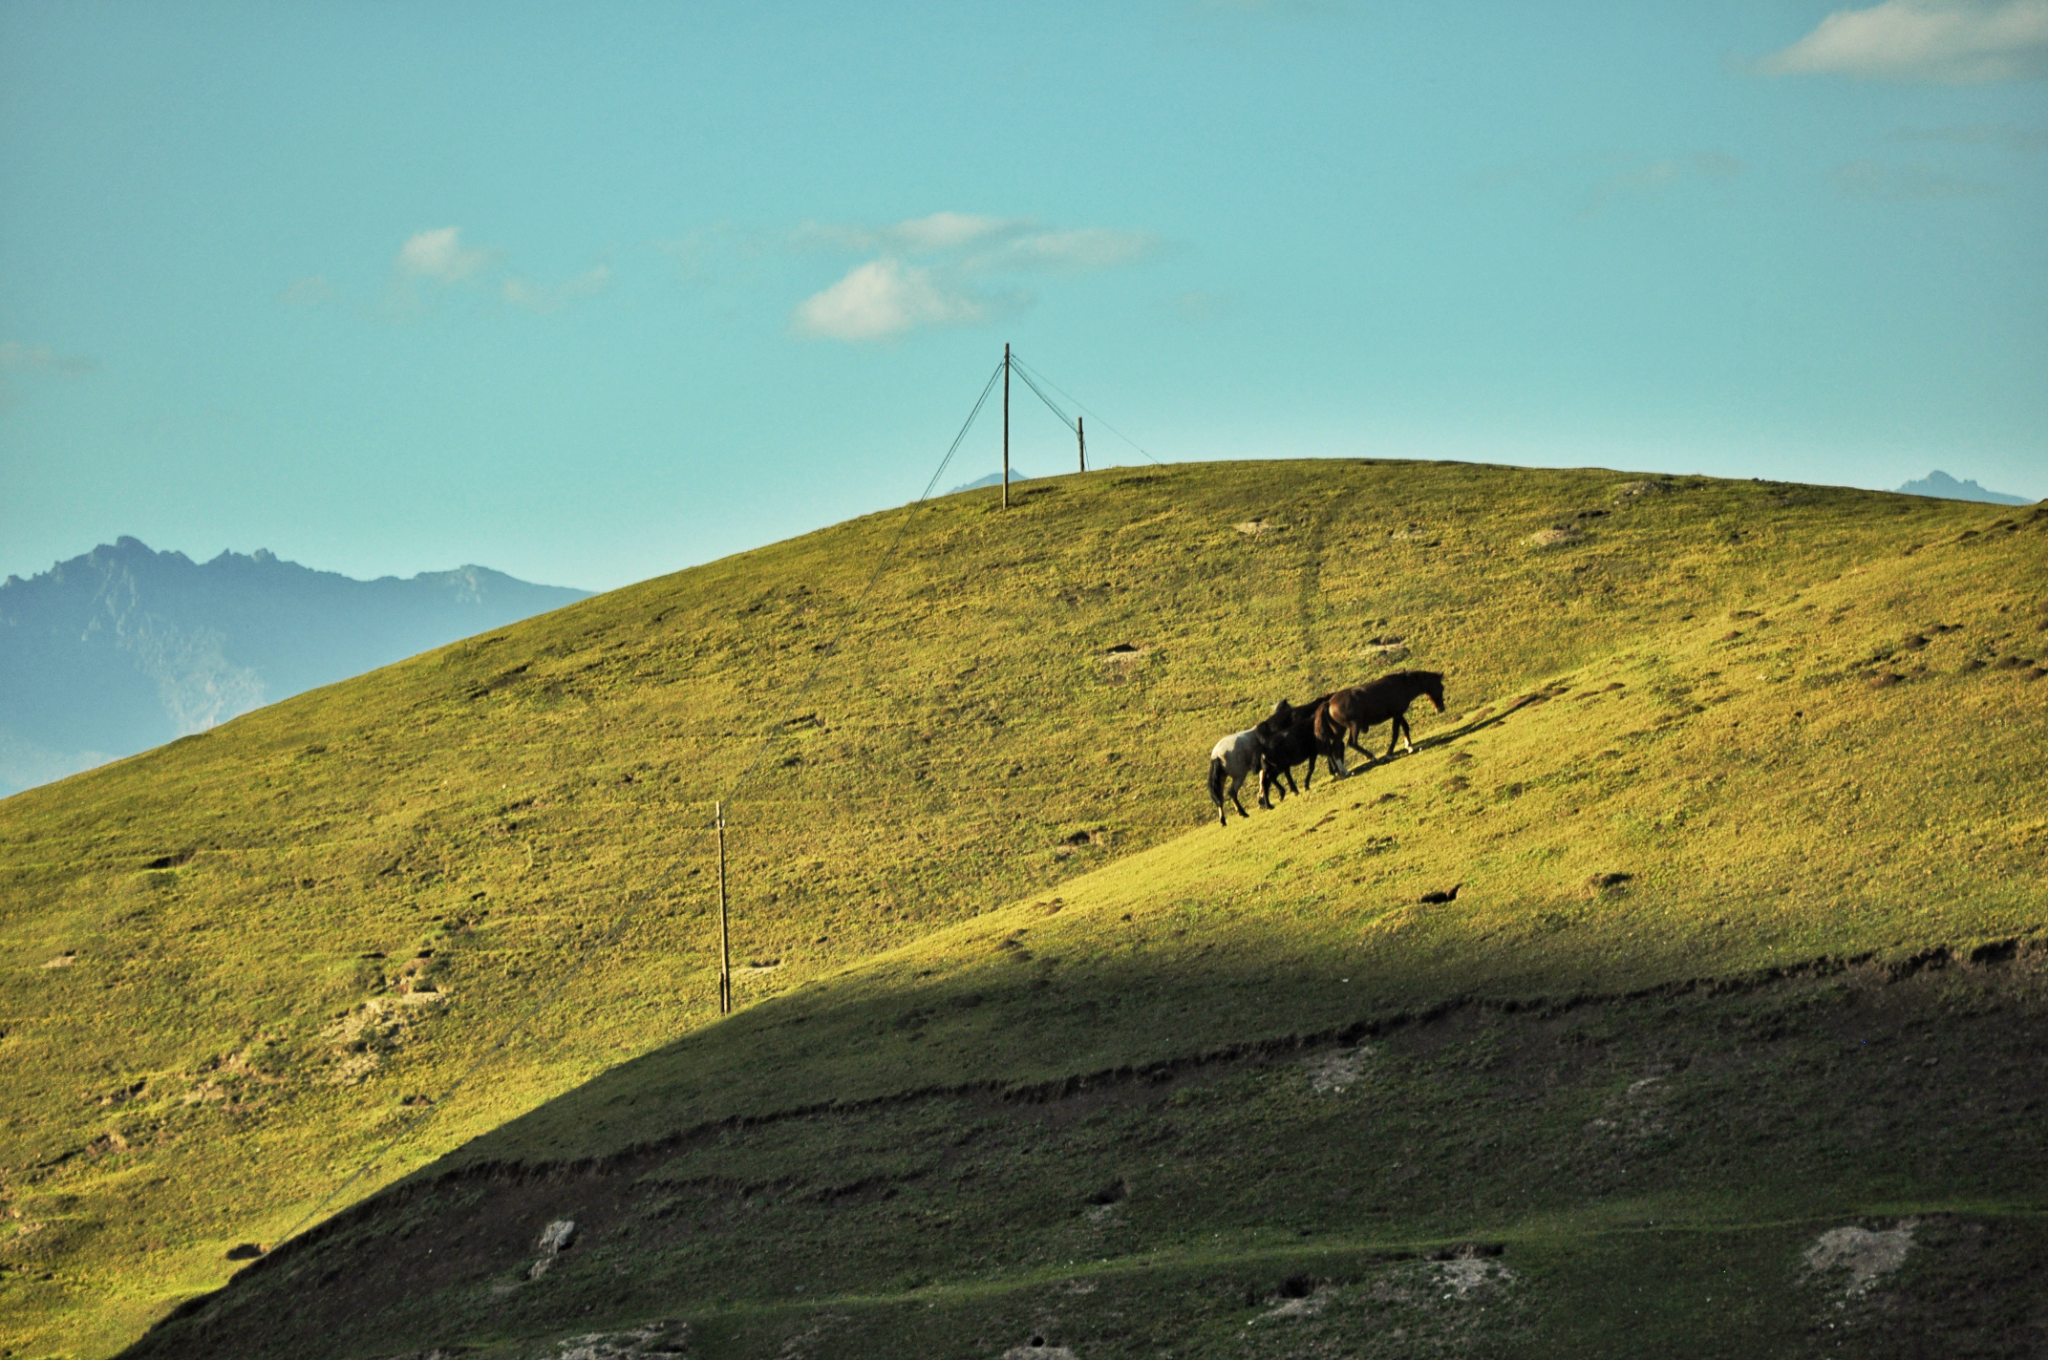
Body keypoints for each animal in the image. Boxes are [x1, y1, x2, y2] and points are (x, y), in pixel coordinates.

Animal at [1310, 667, 1441, 766]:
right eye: (1441, 687)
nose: (1441, 708)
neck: (1402, 685)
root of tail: (1329, 702)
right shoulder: (1397, 715)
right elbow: (1395, 734)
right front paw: (1389, 754)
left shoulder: (1398, 714)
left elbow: (1405, 727)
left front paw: (1409, 746)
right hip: (1354, 725)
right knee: (1352, 743)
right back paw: (1371, 757)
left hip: (1340, 730)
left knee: (1335, 747)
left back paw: (1344, 771)